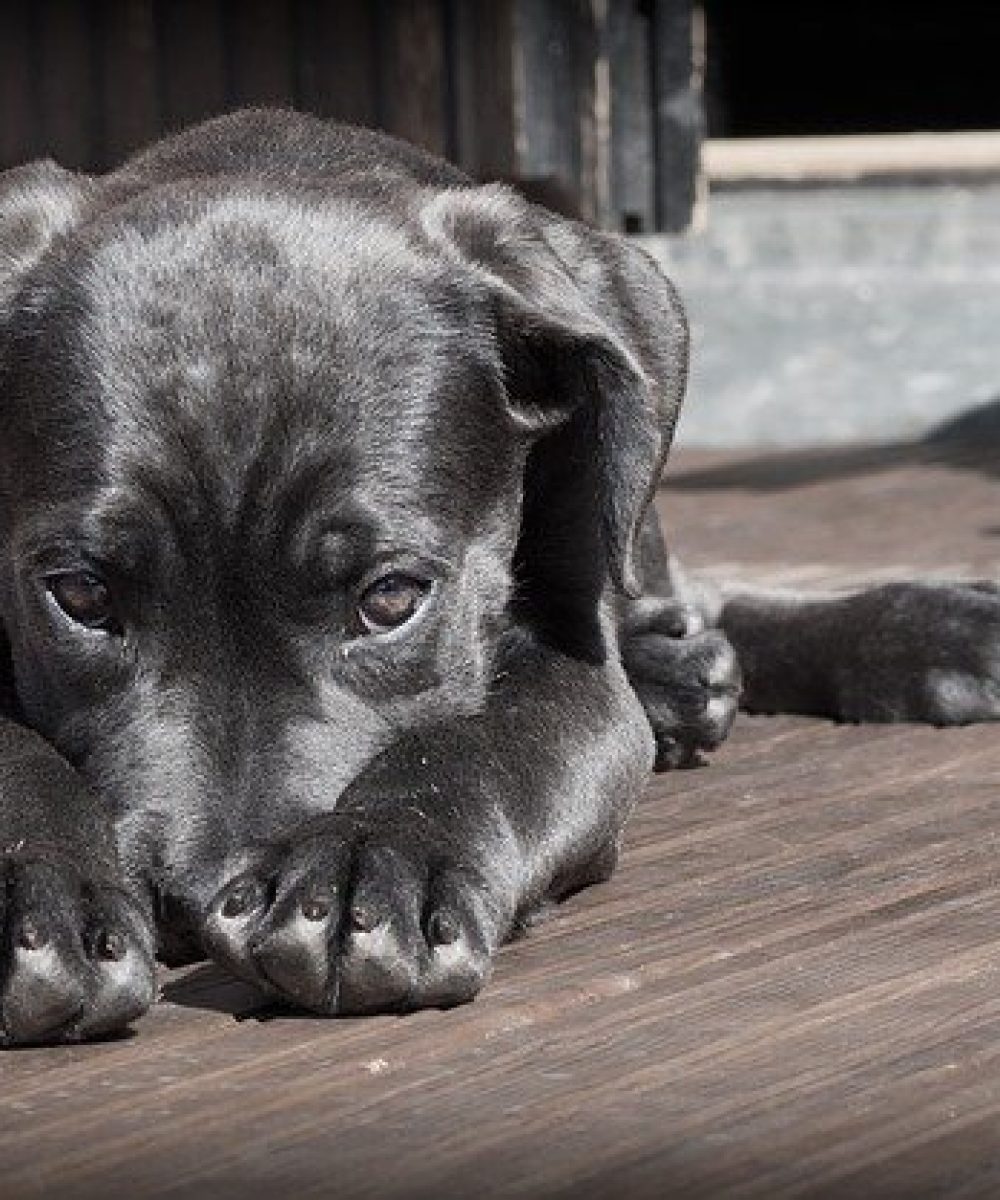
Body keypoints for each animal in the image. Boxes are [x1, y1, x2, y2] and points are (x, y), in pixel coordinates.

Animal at [0, 112, 993, 1041]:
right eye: (80, 595)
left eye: (391, 599)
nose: (197, 902)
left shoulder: (579, 673)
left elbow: (487, 743)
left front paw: (372, 862)